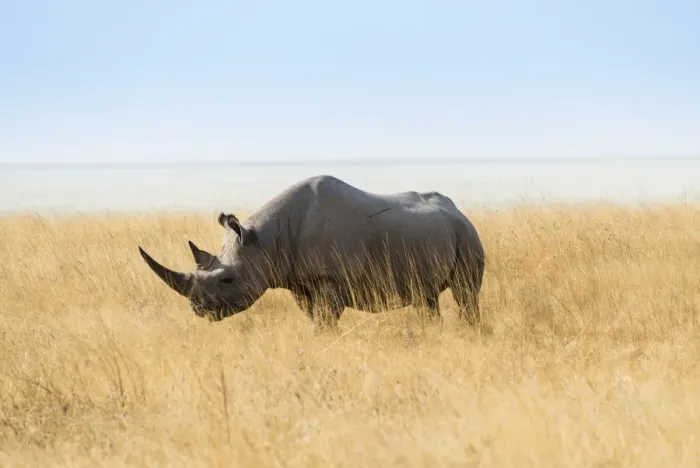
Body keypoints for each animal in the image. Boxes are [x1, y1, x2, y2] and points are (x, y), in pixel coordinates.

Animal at [138, 175, 485, 328]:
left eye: (227, 280)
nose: (198, 309)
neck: (265, 241)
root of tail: (457, 209)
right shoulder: (299, 281)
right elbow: (313, 316)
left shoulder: (329, 278)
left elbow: (326, 318)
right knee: (426, 298)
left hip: (466, 233)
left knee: (466, 293)